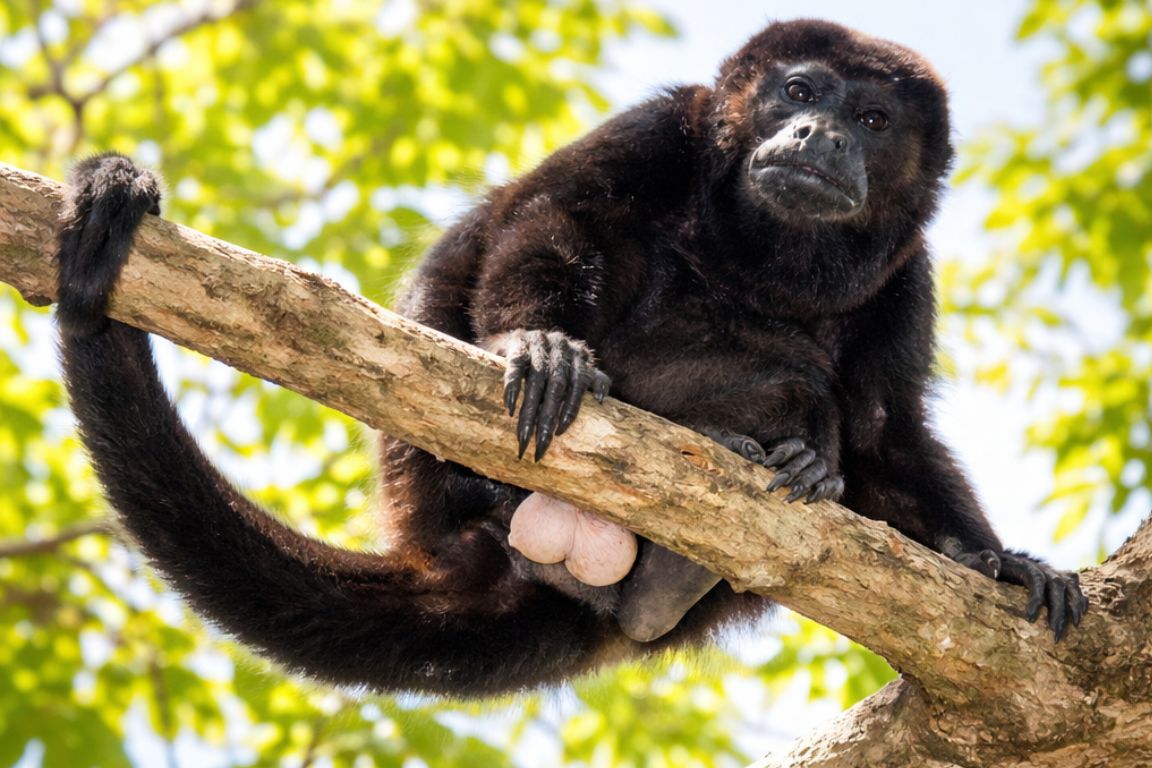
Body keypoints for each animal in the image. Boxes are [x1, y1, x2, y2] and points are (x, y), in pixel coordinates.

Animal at [55, 19, 1088, 698]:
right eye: (799, 93)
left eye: (873, 120)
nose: (819, 135)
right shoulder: (665, 123)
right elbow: (555, 217)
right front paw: (538, 344)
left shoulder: (909, 267)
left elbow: (887, 432)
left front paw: (1000, 562)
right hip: (433, 481)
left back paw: (721, 525)